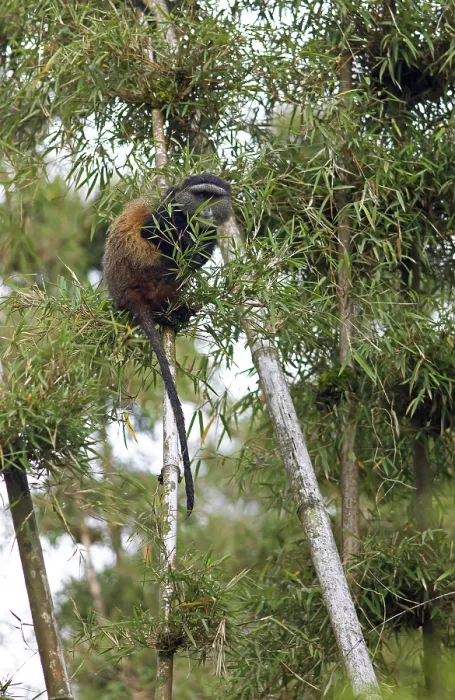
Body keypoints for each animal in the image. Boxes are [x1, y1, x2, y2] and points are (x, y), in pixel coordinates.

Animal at [103, 173, 232, 516]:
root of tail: (126, 295)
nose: (207, 212)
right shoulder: (166, 214)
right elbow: (152, 233)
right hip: (153, 277)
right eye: (200, 195)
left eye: (215, 198)